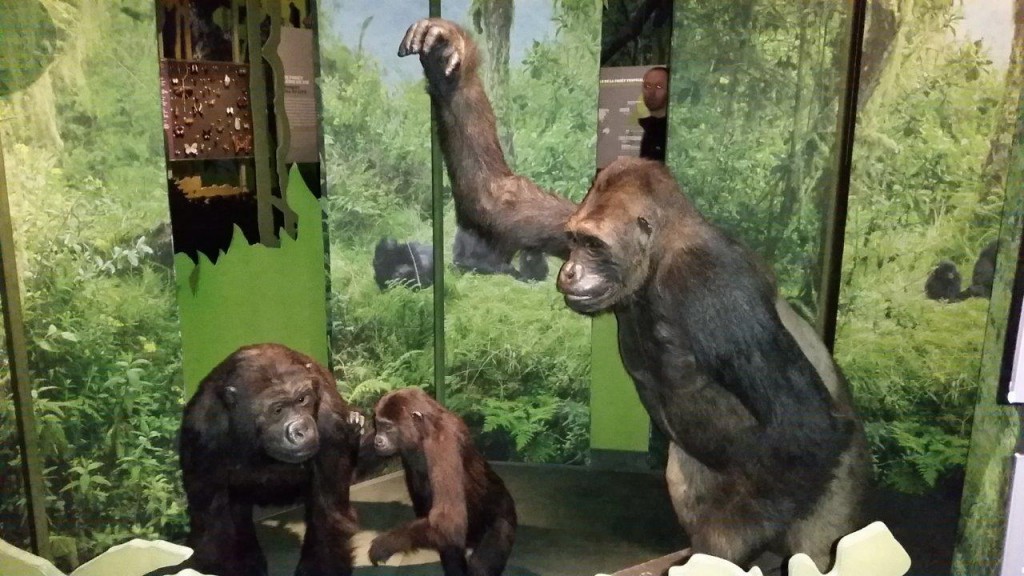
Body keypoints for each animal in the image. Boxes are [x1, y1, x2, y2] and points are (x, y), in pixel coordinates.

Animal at [151, 342, 364, 569]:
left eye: (302, 399)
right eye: (277, 410)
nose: (301, 429)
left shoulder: (330, 424)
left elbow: (329, 518)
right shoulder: (202, 432)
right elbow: (213, 532)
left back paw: (355, 420)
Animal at [368, 385, 516, 573]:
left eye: (387, 427)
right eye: (377, 425)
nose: (377, 440)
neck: (424, 432)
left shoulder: (443, 442)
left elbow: (449, 521)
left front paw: (387, 543)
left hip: (505, 512)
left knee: (484, 556)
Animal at [399, 19, 872, 569]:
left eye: (595, 247)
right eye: (577, 241)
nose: (570, 273)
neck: (658, 256)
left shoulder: (713, 280)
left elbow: (804, 425)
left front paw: (715, 555)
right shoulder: (576, 208)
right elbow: (496, 198)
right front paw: (446, 57)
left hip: (837, 487)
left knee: (819, 525)